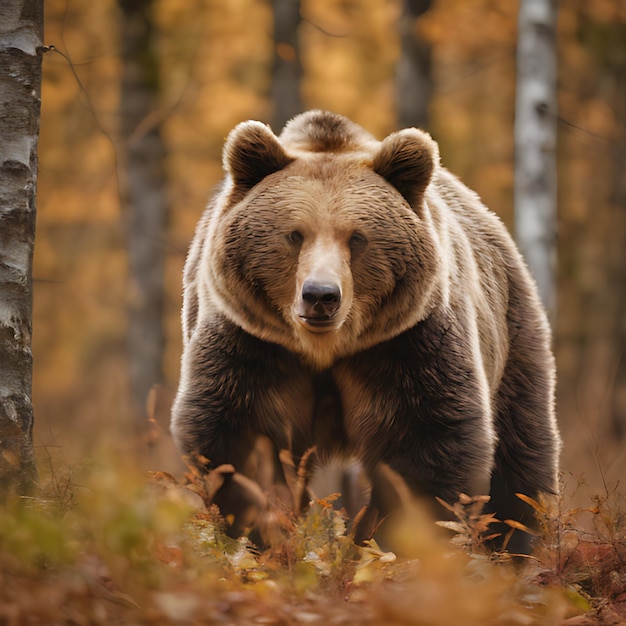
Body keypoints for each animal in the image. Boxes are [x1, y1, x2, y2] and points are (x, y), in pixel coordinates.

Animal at [169, 111, 556, 552]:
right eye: (294, 234)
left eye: (357, 237)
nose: (320, 295)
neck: (325, 349)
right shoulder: (251, 342)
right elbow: (241, 439)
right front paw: (264, 532)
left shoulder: (408, 344)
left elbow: (426, 446)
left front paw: (393, 543)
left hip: (511, 334)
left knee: (519, 456)